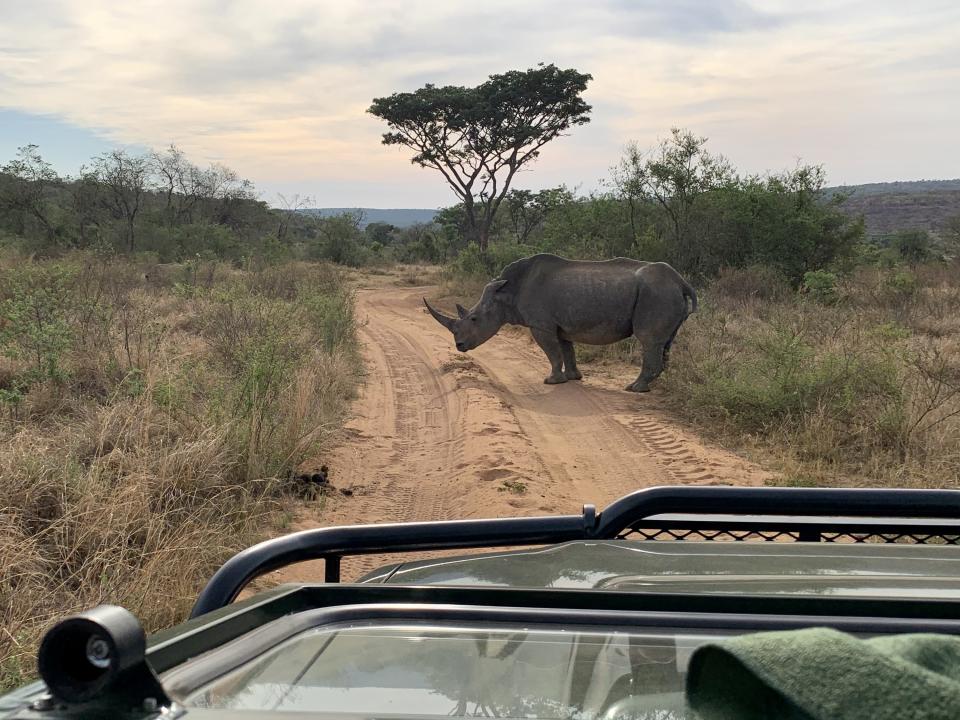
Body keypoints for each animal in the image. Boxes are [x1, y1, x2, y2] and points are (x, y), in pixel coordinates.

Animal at [428, 255, 696, 390]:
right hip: (663, 293)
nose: (459, 346)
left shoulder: (541, 325)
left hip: (656, 293)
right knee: (665, 342)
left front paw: (552, 381)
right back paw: (650, 385)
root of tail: (682, 282)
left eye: (474, 319)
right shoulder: (562, 325)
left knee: (648, 340)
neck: (505, 293)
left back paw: (634, 388)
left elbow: (552, 353)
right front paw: (573, 378)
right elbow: (567, 350)